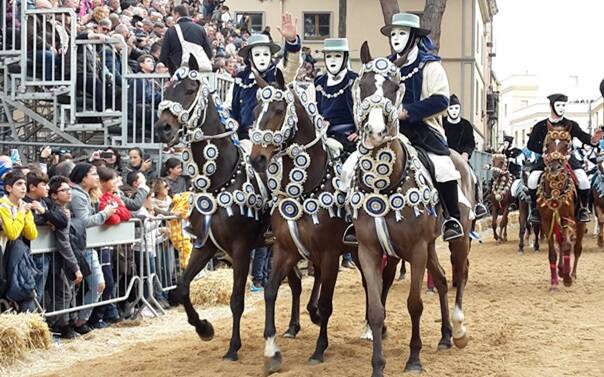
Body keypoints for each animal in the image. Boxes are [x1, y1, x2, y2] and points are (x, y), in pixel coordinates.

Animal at [155, 69, 302, 360]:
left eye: (190, 90)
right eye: (167, 90)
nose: (163, 128)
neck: (220, 181)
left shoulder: (241, 249)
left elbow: (236, 300)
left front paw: (233, 347)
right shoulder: (205, 245)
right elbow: (182, 287)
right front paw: (204, 328)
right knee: (296, 283)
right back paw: (292, 327)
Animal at [352, 42, 474, 374]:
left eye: (395, 87)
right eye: (362, 84)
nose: (375, 131)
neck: (384, 184)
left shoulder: (417, 249)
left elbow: (414, 304)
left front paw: (414, 359)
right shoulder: (369, 251)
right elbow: (376, 309)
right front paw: (377, 364)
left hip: (458, 239)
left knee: (459, 274)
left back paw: (458, 330)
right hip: (430, 245)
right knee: (443, 279)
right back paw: (445, 335)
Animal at [536, 122, 584, 290]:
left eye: (567, 145)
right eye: (548, 144)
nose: (555, 168)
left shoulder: (567, 218)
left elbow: (567, 246)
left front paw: (567, 279)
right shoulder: (546, 221)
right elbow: (553, 252)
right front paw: (554, 282)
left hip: (579, 222)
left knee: (576, 248)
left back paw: (572, 274)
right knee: (560, 241)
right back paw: (561, 270)